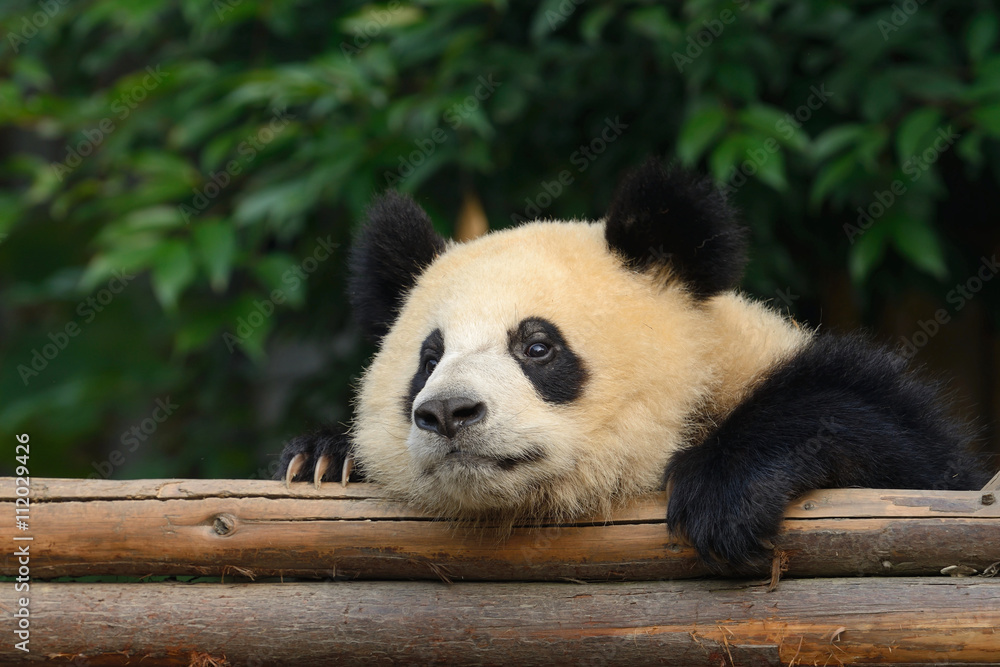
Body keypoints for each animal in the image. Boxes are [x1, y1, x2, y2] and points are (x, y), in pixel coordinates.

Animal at [277, 159, 991, 569]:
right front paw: (324, 459)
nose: (449, 412)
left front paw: (726, 492)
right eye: (428, 360)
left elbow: (914, 460)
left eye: (538, 347)